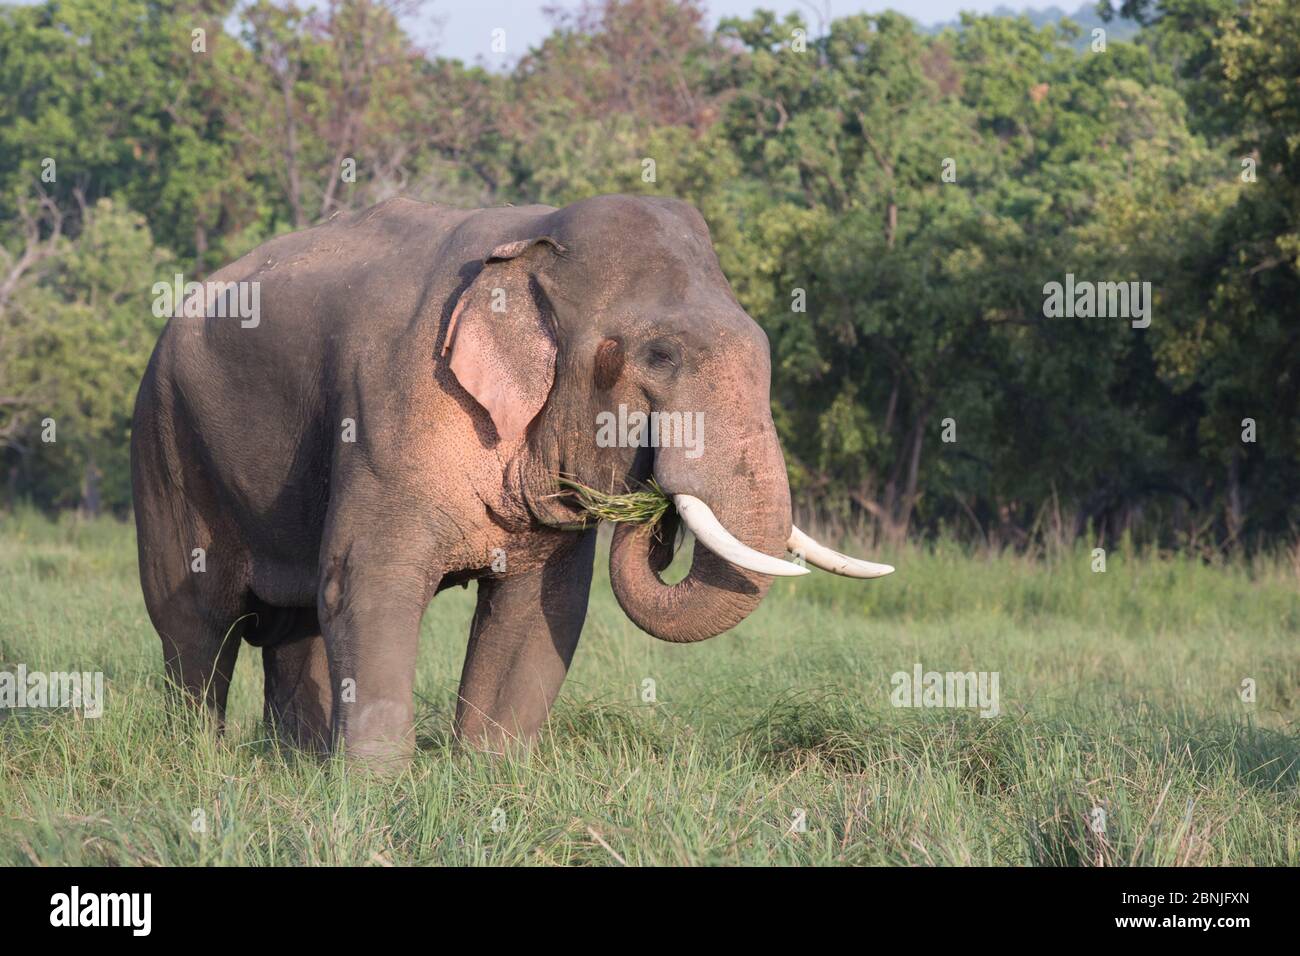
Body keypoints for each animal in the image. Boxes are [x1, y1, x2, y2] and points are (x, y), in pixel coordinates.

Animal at [130, 194, 892, 763]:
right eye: (661, 355)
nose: (654, 513)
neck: (532, 240)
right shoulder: (389, 407)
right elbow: (365, 578)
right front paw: (376, 787)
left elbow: (543, 607)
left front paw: (487, 776)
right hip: (165, 438)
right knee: (195, 621)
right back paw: (198, 757)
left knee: (294, 625)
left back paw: (295, 759)